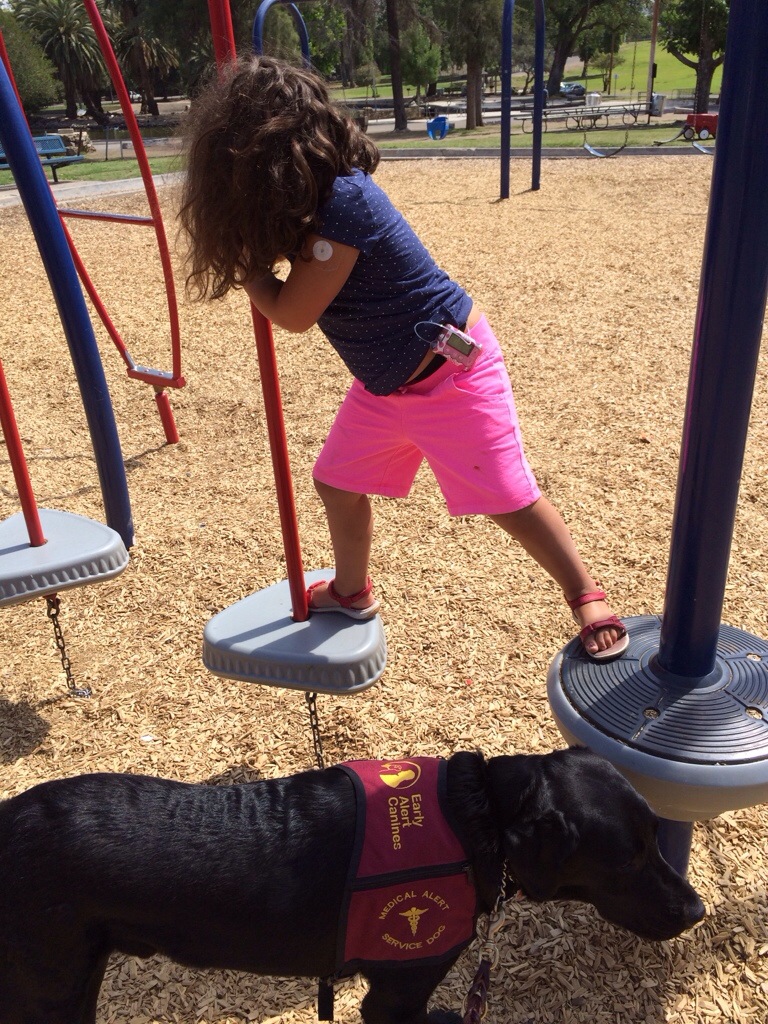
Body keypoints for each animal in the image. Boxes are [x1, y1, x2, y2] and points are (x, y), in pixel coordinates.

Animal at [0, 747, 704, 1024]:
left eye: (656, 837)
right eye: (628, 860)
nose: (695, 910)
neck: (478, 819)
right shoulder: (397, 993)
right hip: (50, 986)